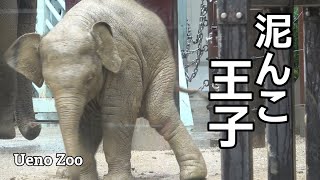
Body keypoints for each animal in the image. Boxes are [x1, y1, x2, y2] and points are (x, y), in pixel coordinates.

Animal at [4, 0, 208, 179]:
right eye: (49, 85)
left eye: (89, 79)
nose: (36, 126)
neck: (78, 23)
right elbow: (83, 123)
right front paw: (84, 176)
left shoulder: (125, 62)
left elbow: (116, 114)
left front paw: (116, 178)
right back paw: (62, 173)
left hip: (162, 62)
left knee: (158, 113)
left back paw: (193, 174)